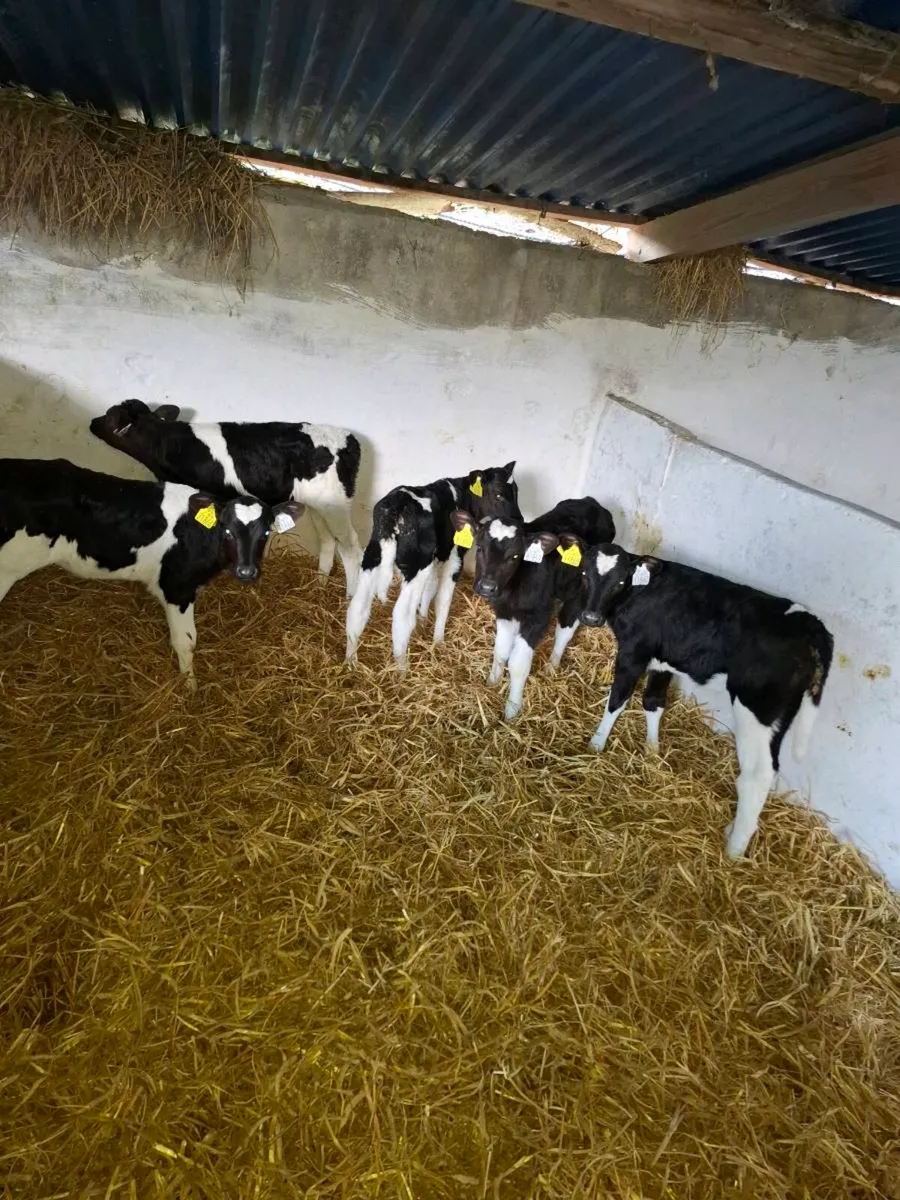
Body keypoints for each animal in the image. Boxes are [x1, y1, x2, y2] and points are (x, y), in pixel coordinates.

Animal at [0, 458, 302, 688]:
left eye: (265, 533)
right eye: (227, 530)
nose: (246, 571)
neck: (198, 535)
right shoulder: (177, 588)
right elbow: (186, 641)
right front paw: (190, 688)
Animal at [89, 399, 362, 596]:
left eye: (110, 415)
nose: (92, 421)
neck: (169, 443)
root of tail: (348, 438)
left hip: (335, 505)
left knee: (351, 547)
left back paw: (350, 596)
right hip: (319, 504)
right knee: (327, 539)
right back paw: (320, 583)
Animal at [345, 463, 521, 670]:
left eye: (516, 492)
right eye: (499, 494)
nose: (519, 520)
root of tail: (398, 503)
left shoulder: (438, 556)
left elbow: (430, 588)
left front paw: (423, 619)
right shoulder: (454, 558)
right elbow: (443, 600)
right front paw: (439, 641)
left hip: (373, 556)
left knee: (357, 608)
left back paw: (351, 660)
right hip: (417, 565)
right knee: (401, 616)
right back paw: (402, 669)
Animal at [450, 498, 616, 720]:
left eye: (515, 556)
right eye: (480, 549)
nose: (487, 587)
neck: (514, 590)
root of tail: (592, 502)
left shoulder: (538, 618)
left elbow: (518, 664)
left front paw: (512, 709)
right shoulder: (504, 612)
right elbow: (500, 651)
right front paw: (492, 682)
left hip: (580, 591)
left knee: (565, 629)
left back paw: (552, 666)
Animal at [578, 542, 834, 858]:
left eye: (620, 582)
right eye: (584, 573)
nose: (590, 618)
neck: (642, 592)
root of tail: (810, 623)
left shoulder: (633, 653)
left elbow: (617, 701)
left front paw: (596, 744)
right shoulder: (662, 660)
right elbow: (653, 702)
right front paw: (652, 750)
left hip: (756, 707)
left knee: (757, 774)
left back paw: (734, 850)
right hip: (782, 713)